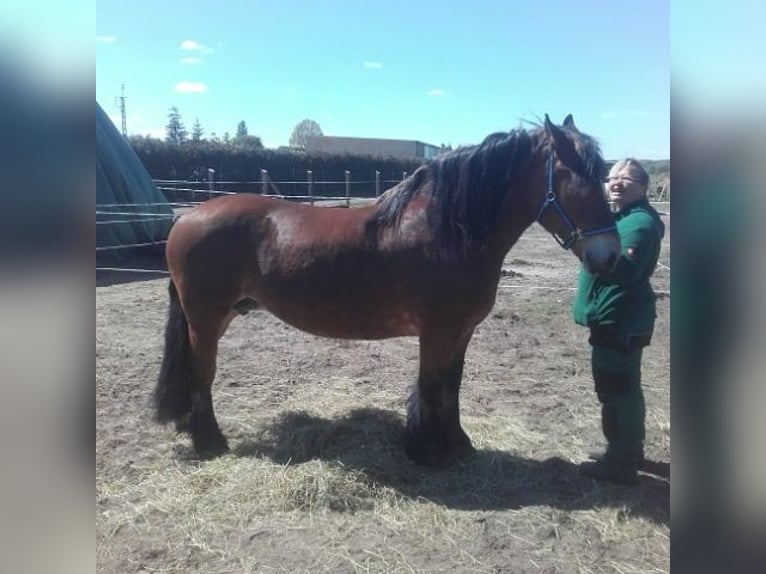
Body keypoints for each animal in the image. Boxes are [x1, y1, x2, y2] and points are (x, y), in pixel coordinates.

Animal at [156, 115, 624, 466]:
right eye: (575, 177)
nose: (610, 256)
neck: (446, 231)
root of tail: (187, 217)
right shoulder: (437, 332)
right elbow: (432, 385)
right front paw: (425, 450)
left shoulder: (462, 332)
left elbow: (452, 384)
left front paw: (457, 443)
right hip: (205, 318)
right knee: (202, 373)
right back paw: (210, 442)